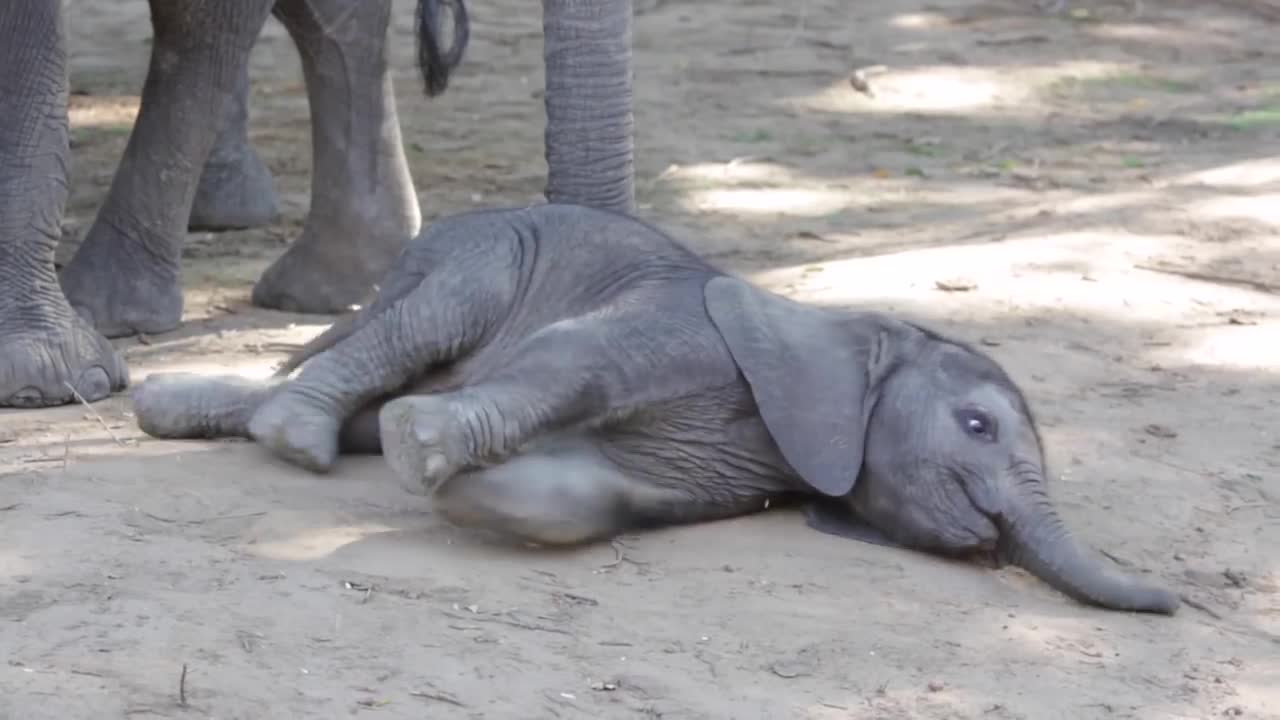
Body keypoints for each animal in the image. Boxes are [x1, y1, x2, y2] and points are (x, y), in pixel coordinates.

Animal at [132, 199, 1177, 609]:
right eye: (976, 425)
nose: (1178, 600)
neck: (846, 329)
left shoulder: (730, 466)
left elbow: (587, 496)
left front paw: (460, 488)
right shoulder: (688, 330)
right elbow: (572, 359)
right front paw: (419, 449)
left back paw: (173, 415)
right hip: (486, 254)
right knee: (420, 327)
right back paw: (299, 441)